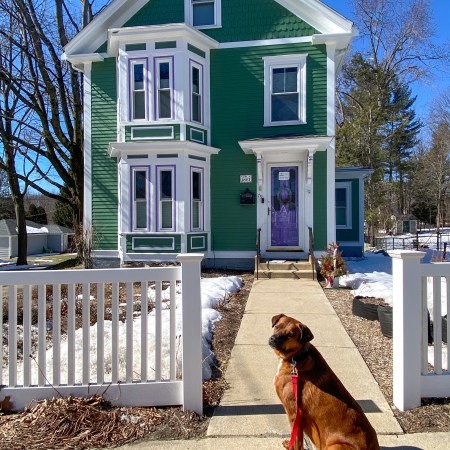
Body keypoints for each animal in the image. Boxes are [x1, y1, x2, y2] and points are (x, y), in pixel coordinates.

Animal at [269, 314, 380, 450]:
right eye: (277, 327)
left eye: (290, 334)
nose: (273, 339)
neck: (297, 357)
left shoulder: (294, 414)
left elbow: (296, 441)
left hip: (336, 446)